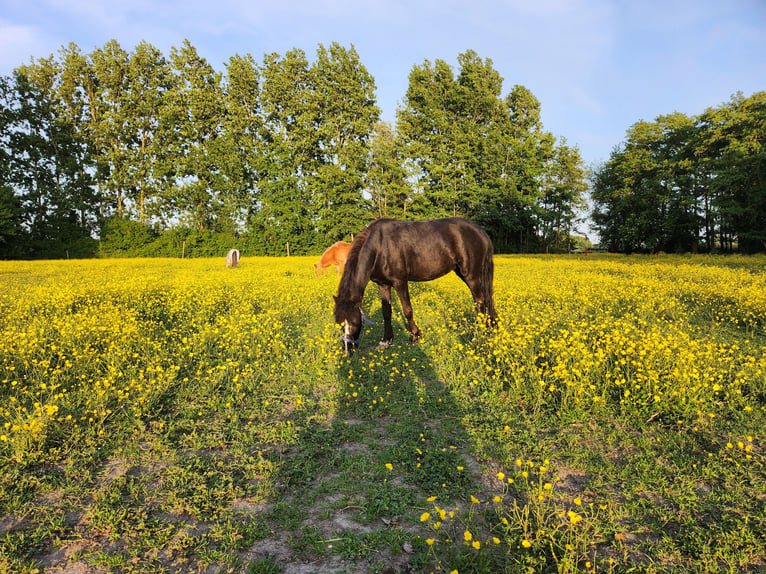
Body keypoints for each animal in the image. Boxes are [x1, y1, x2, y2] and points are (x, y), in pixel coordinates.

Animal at [334, 218, 497, 353]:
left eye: (354, 323)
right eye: (339, 324)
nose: (347, 350)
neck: (380, 246)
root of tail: (480, 231)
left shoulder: (400, 281)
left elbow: (407, 310)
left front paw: (416, 336)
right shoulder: (383, 284)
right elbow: (386, 312)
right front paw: (386, 341)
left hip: (471, 275)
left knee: (480, 303)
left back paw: (476, 337)